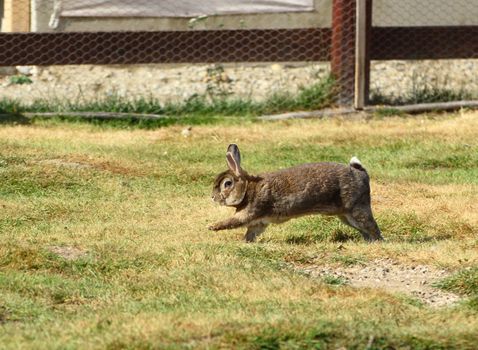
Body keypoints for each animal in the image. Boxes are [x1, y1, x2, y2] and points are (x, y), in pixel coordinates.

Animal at [211, 144, 382, 242]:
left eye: (227, 184)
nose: (212, 197)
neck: (248, 189)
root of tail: (361, 173)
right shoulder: (258, 222)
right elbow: (252, 232)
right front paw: (245, 242)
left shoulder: (251, 211)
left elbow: (234, 221)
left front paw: (212, 226)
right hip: (346, 216)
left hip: (357, 209)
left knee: (371, 226)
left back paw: (377, 241)